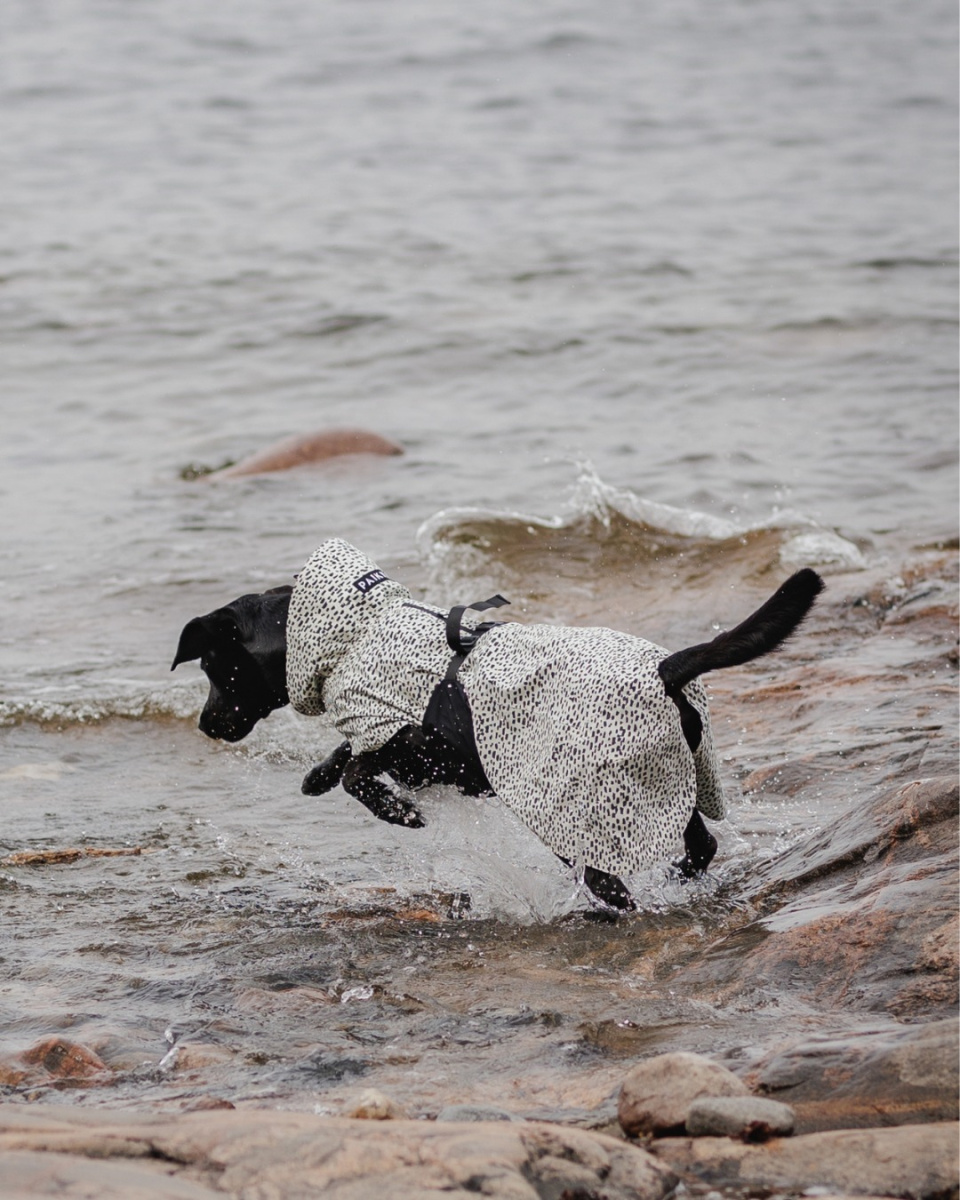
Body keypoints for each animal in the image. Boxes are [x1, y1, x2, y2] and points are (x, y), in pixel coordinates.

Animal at [174, 571, 825, 907]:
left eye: (210, 665)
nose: (204, 725)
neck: (354, 637)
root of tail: (666, 670)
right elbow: (349, 754)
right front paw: (317, 775)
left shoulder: (420, 742)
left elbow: (362, 768)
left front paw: (397, 812)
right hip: (667, 786)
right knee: (701, 844)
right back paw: (677, 884)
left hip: (573, 811)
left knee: (610, 880)